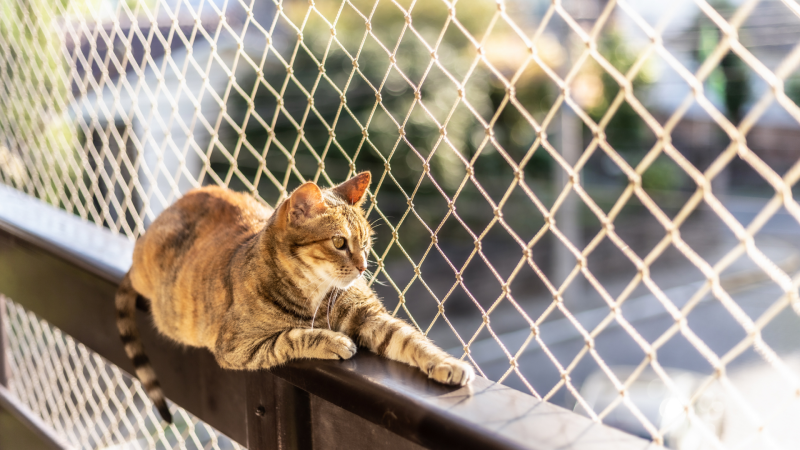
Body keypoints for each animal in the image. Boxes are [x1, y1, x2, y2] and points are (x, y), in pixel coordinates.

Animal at [114, 171, 476, 422]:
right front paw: (332, 341)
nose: (362, 267)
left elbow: (410, 339)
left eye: (366, 242)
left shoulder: (369, 315)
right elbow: (290, 337)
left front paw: (447, 363)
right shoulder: (236, 346)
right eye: (339, 242)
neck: (316, 291)